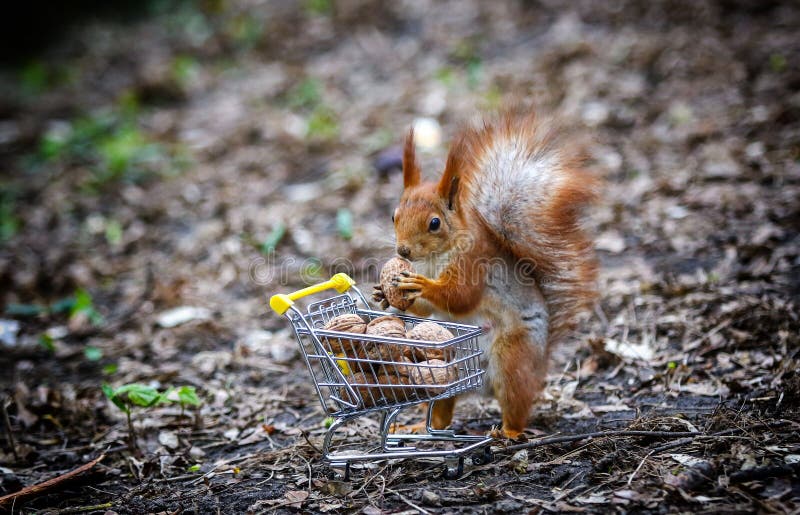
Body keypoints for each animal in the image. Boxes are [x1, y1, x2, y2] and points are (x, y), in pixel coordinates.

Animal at [378, 110, 596, 440]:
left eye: (434, 223)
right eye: (394, 216)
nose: (403, 251)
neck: (433, 259)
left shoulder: (474, 264)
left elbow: (460, 297)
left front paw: (423, 285)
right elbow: (426, 310)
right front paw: (382, 293)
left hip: (512, 358)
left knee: (516, 402)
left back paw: (508, 432)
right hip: (445, 367)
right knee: (441, 414)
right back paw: (418, 426)